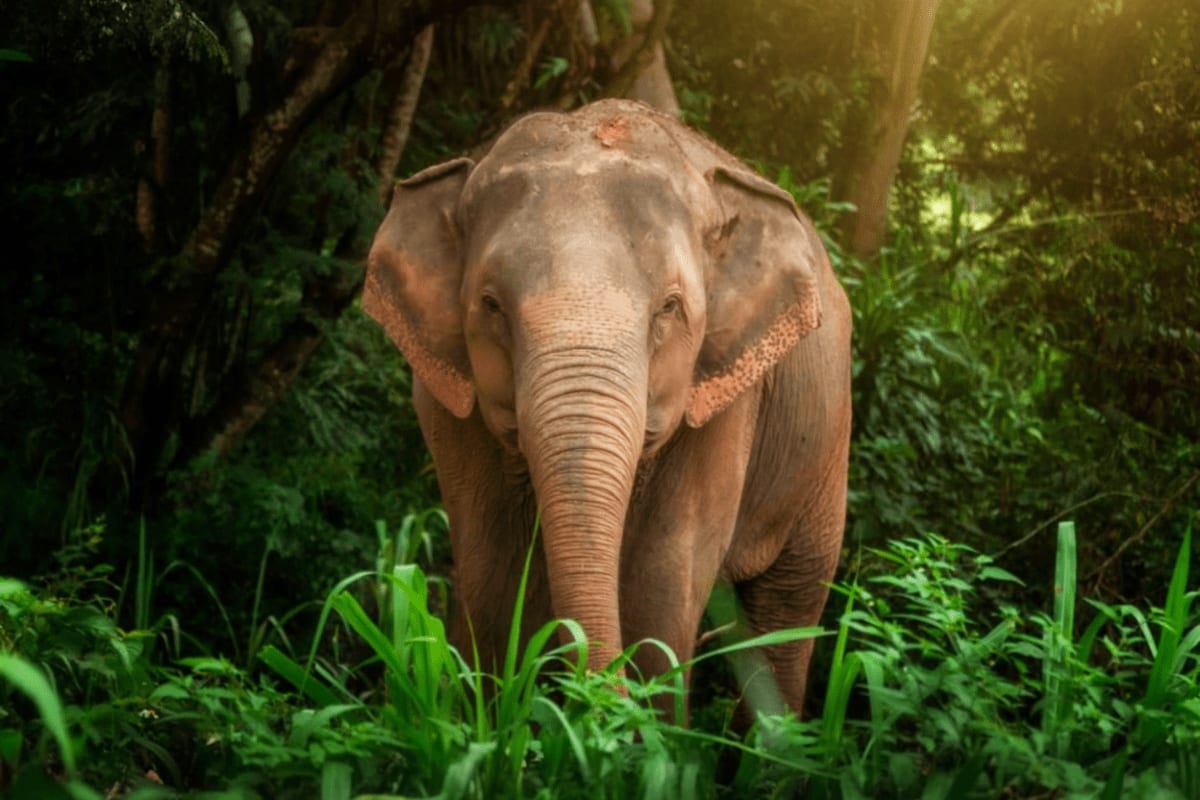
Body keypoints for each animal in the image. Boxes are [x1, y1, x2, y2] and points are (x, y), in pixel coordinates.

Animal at [363, 98, 851, 718]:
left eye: (670, 307)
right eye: (492, 305)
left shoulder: (725, 404)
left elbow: (659, 584)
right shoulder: (447, 400)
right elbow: (490, 572)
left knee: (788, 607)